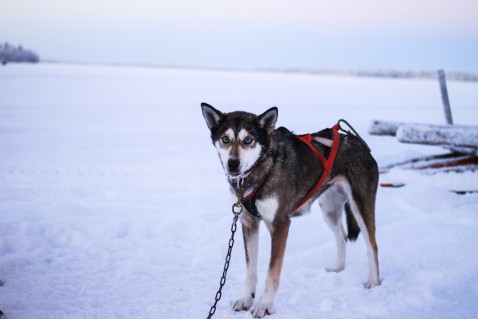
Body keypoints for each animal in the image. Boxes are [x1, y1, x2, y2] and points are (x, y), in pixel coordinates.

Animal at [200, 104, 380, 318]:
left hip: (360, 206)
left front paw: (264, 305)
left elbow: (272, 273)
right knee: (342, 237)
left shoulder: (280, 225)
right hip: (329, 210)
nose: (232, 163)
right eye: (225, 139)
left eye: (248, 140)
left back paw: (373, 282)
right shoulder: (248, 223)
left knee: (373, 246)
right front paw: (246, 299)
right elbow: (250, 270)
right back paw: (338, 268)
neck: (262, 169)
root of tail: (358, 141)